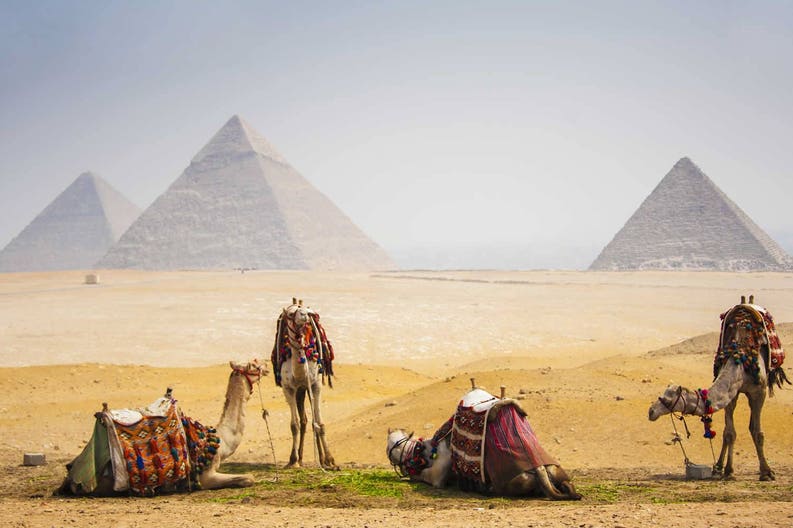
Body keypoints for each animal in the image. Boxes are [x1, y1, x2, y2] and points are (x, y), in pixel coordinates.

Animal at [59, 359, 266, 495]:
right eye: (254, 365)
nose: (265, 366)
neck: (221, 442)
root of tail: (71, 477)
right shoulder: (206, 476)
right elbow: (249, 478)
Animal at [272, 299, 337, 469]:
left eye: (307, 312)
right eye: (290, 314)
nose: (306, 315)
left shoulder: (315, 385)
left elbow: (320, 423)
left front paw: (330, 460)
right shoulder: (289, 388)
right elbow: (294, 425)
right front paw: (293, 460)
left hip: (306, 389)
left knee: (312, 421)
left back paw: (321, 459)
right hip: (300, 391)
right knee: (304, 421)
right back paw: (300, 458)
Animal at [387, 386, 581, 500]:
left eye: (389, 447)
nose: (400, 469)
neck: (427, 450)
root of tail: (539, 468)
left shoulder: (438, 474)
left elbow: (423, 477)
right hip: (557, 472)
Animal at [648, 299, 789, 481]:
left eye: (667, 399)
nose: (651, 411)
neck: (740, 359)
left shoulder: (759, 392)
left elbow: (757, 432)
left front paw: (767, 472)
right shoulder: (731, 394)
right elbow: (729, 433)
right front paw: (728, 470)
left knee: (753, 427)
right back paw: (718, 467)